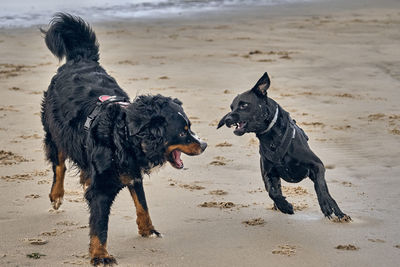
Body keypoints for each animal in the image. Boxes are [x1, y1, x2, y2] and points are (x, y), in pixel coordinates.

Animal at [41, 13, 206, 266]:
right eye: (182, 132)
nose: (204, 144)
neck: (124, 136)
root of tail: (80, 59)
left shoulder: (132, 170)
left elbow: (142, 204)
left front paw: (148, 230)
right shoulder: (102, 189)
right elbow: (100, 226)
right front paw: (100, 255)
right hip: (55, 131)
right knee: (58, 165)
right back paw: (56, 195)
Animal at [217, 73, 348, 222]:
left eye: (244, 105)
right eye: (231, 107)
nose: (227, 119)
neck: (272, 138)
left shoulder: (317, 165)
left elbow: (320, 188)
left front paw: (326, 206)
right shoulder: (268, 174)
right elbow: (272, 192)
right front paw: (285, 206)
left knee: (328, 194)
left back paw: (340, 214)